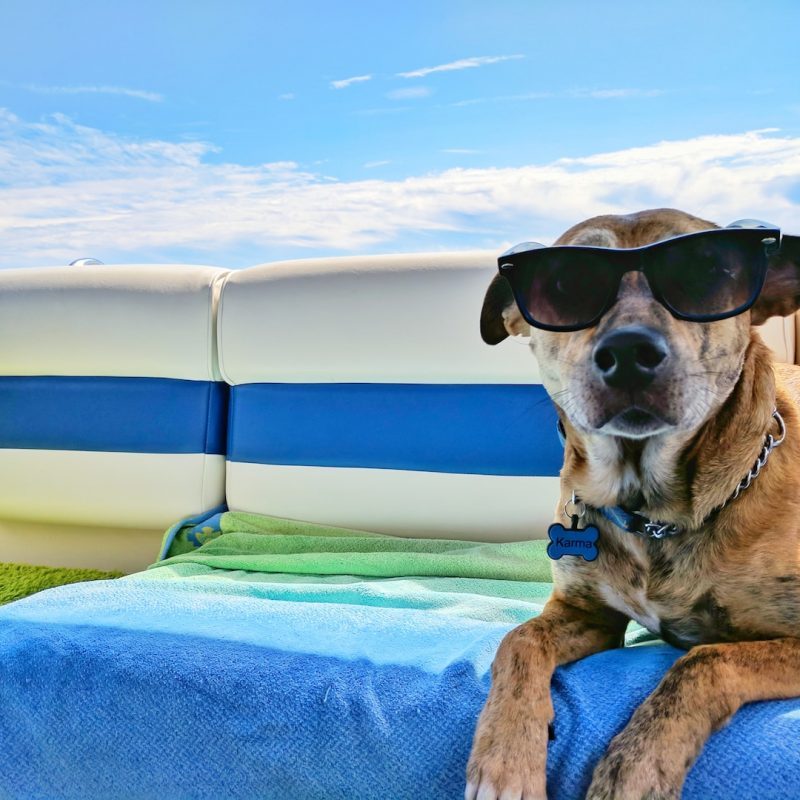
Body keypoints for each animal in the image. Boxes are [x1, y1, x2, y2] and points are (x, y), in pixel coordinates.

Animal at [466, 209, 800, 800]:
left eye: (708, 270)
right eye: (564, 284)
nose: (627, 354)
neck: (653, 512)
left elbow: (703, 660)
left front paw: (635, 767)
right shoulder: (586, 615)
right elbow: (518, 638)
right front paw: (503, 759)